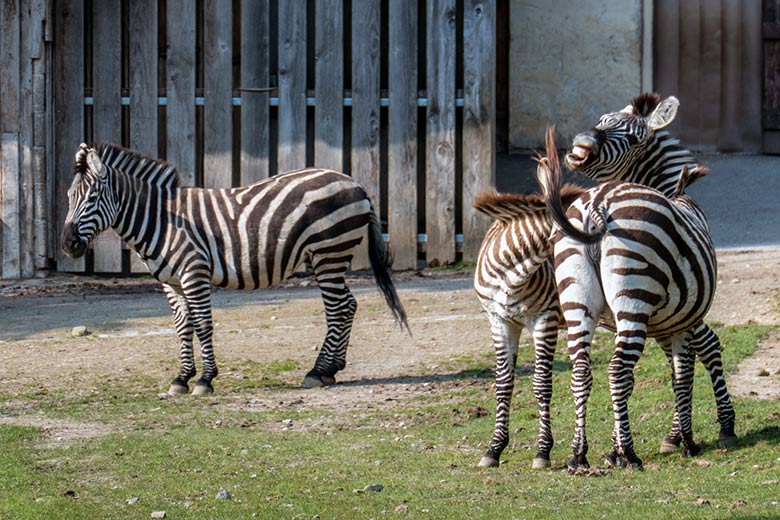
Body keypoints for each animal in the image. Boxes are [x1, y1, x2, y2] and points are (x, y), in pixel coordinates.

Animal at [61, 142, 408, 394]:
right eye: (68, 197)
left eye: (92, 197)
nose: (68, 244)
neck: (162, 220)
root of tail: (355, 182)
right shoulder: (171, 283)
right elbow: (183, 327)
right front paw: (181, 378)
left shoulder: (195, 273)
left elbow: (203, 325)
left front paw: (205, 379)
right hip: (327, 257)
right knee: (348, 305)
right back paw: (331, 369)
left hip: (329, 252)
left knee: (338, 308)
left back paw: (318, 371)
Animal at [540, 93, 736, 472]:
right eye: (602, 120)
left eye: (632, 138)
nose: (581, 143)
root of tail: (598, 202)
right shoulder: (687, 316)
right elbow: (694, 360)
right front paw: (699, 433)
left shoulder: (658, 321)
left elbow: (658, 374)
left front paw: (614, 447)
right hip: (634, 296)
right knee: (617, 370)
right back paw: (631, 455)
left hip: (578, 300)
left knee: (582, 371)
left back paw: (578, 454)